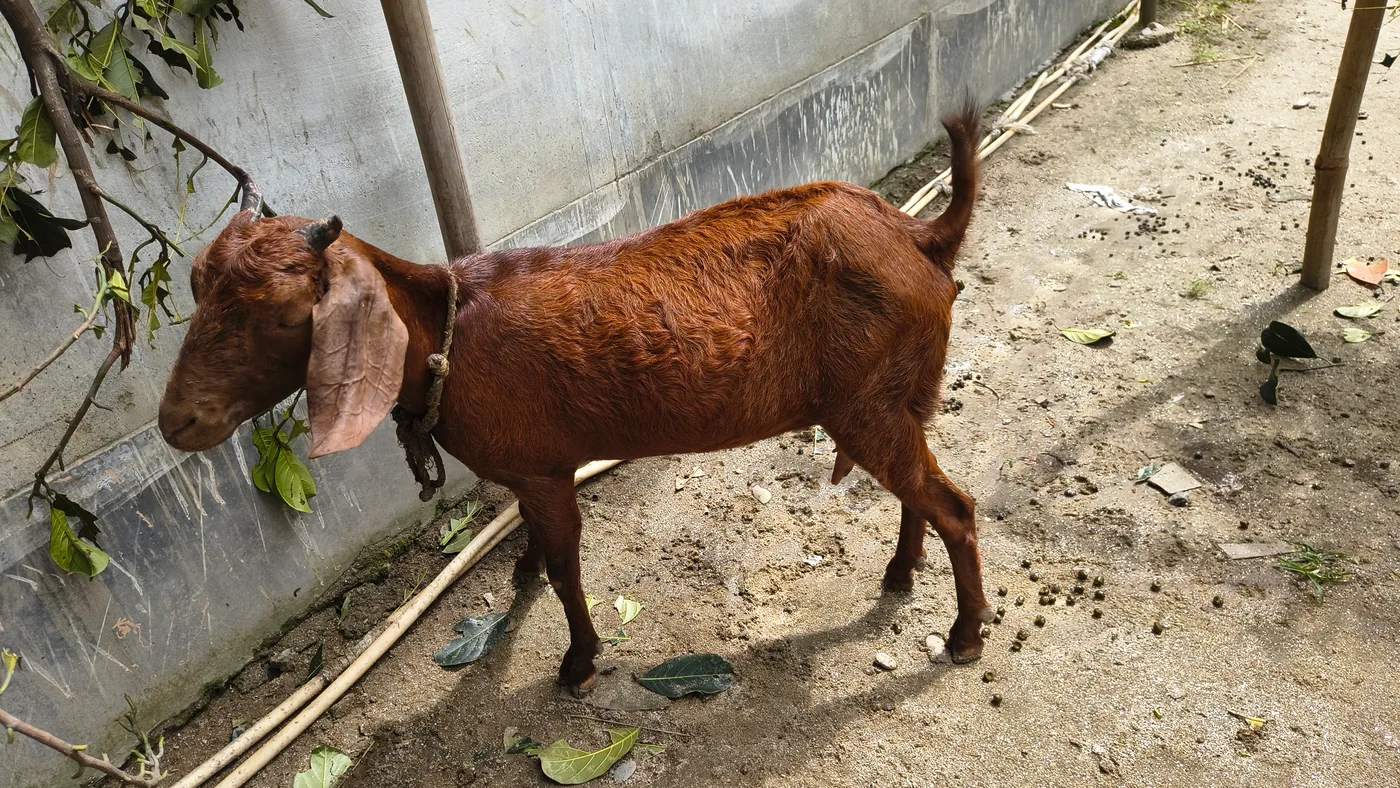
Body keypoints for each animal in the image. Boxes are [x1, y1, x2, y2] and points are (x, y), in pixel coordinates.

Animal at [158, 108, 989, 694]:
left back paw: (964, 633)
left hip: (866, 403)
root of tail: (920, 232)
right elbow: (530, 540)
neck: (447, 331)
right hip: (893, 395)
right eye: (196, 289)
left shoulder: (547, 470)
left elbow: (565, 567)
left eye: (280, 315)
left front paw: (578, 663)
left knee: (955, 503)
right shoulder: (532, 469)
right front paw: (521, 575)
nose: (177, 422)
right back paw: (901, 572)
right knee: (922, 484)